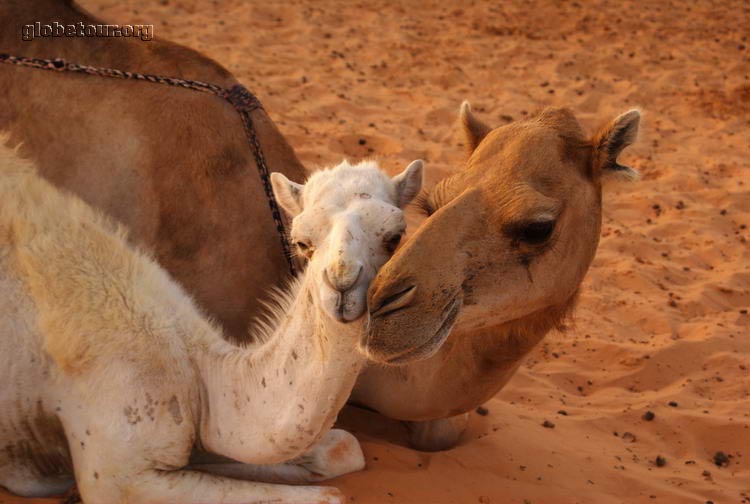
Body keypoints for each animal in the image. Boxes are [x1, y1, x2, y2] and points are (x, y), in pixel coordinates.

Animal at [0, 142, 424, 504]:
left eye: (395, 237)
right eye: (301, 242)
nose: (341, 282)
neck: (198, 373)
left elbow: (343, 449)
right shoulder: (117, 471)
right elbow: (332, 495)